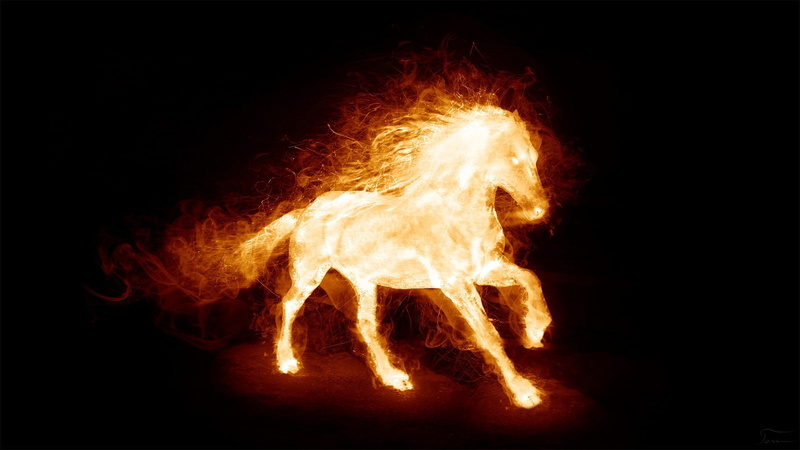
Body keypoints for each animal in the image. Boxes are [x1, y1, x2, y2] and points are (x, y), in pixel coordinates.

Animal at [240, 105, 552, 408]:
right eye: (512, 158)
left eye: (534, 156)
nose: (538, 209)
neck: (455, 214)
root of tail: (306, 211)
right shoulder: (456, 284)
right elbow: (488, 334)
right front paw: (524, 393)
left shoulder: (485, 269)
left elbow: (530, 278)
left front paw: (534, 331)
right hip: (309, 274)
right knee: (289, 305)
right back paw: (287, 362)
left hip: (364, 282)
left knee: (366, 324)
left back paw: (394, 378)